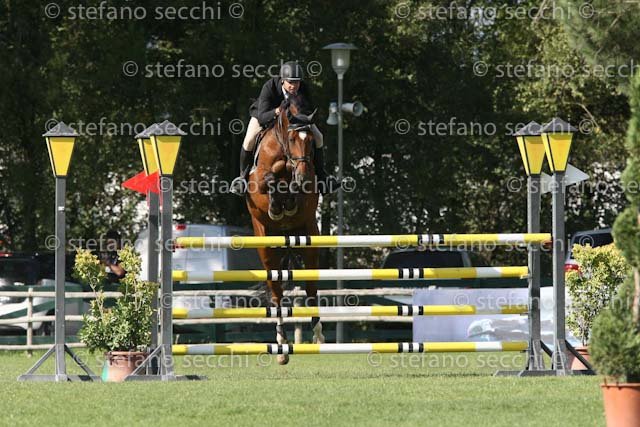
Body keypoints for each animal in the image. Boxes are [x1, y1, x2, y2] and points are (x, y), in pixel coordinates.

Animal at [245, 96, 325, 364]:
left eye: (311, 143)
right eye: (291, 139)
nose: (303, 177)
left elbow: (292, 191)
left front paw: (288, 201)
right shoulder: (259, 179)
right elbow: (269, 180)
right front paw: (276, 207)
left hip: (310, 242)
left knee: (311, 289)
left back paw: (317, 333)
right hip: (267, 251)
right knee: (277, 293)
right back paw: (281, 343)